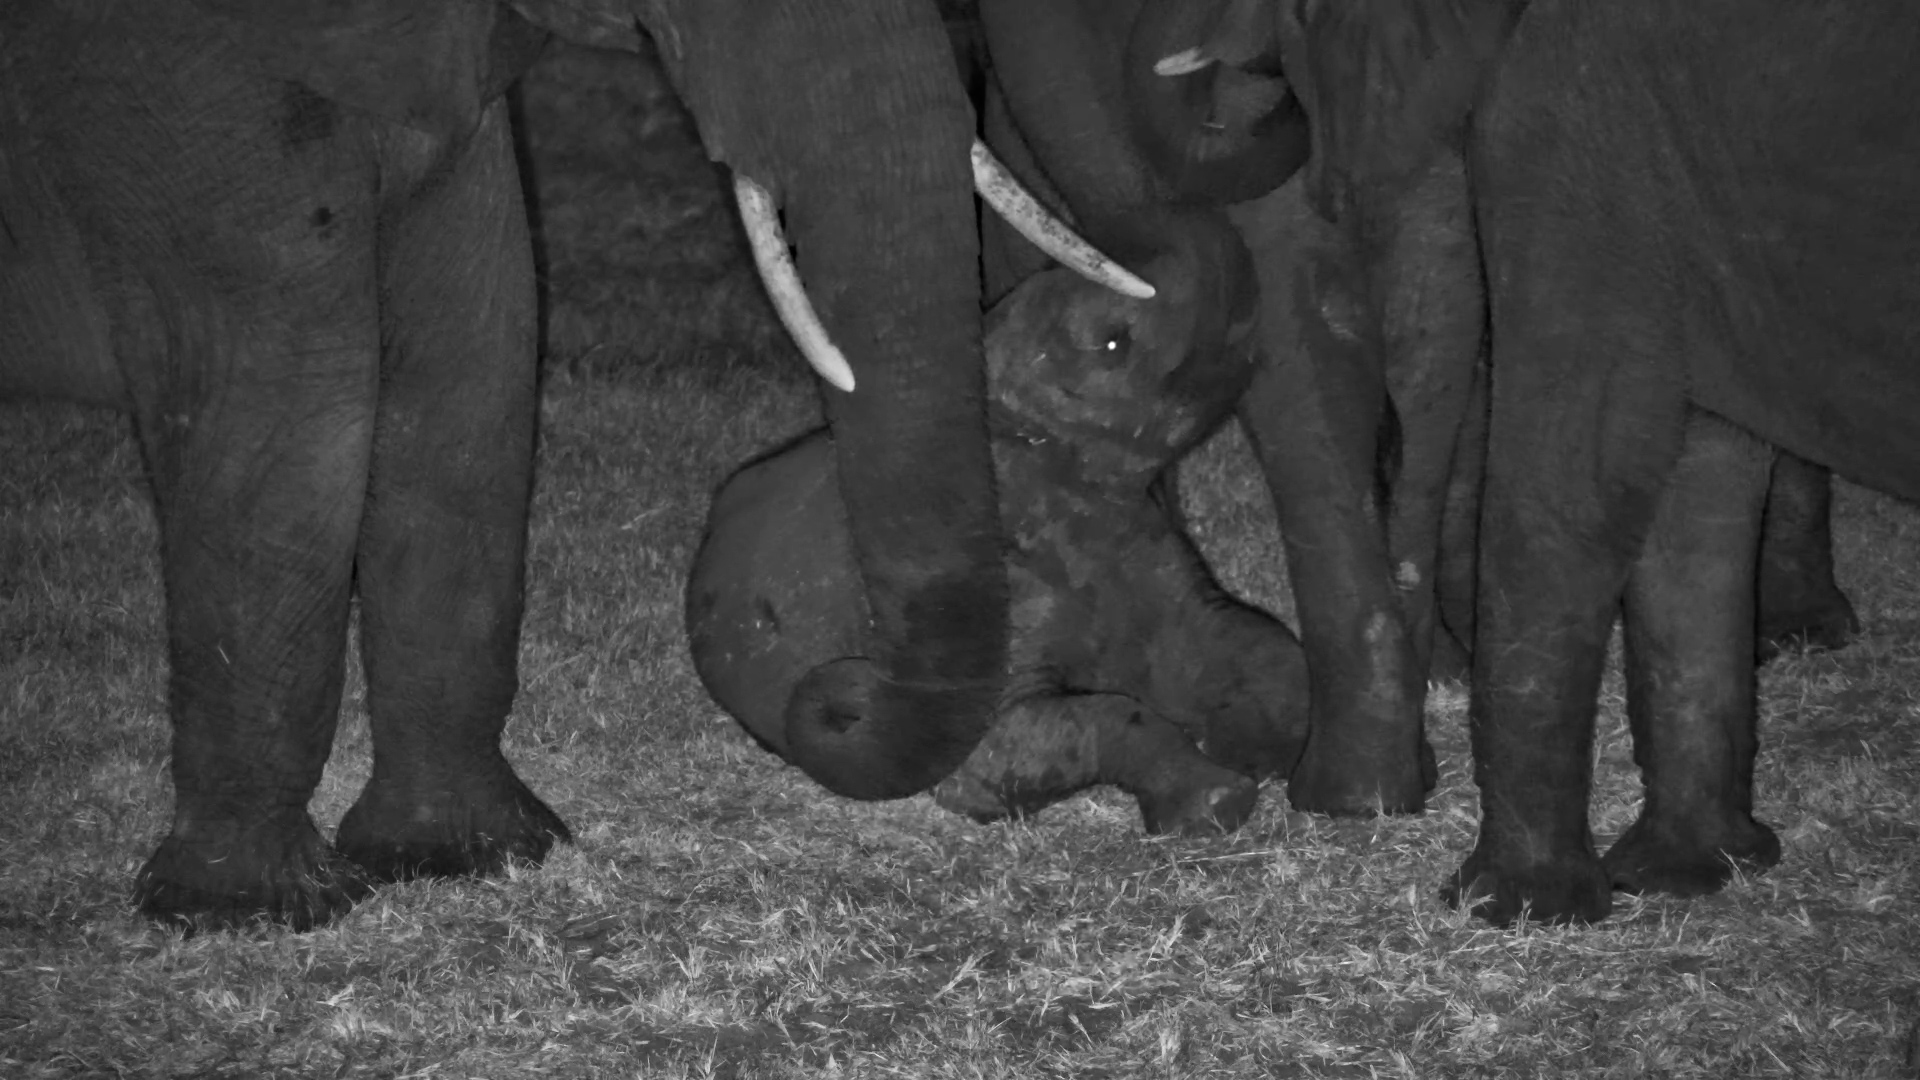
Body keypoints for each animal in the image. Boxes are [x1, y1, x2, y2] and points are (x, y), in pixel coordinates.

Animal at [0, 0, 1145, 929]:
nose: (841, 683)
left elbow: (478, 363)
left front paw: (470, 856)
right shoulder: (180, 86)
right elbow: (287, 400)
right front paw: (250, 912)